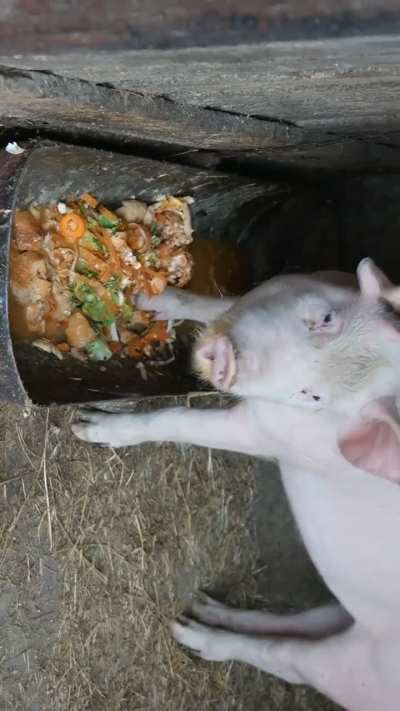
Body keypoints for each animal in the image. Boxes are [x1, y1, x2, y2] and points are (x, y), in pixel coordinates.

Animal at [72, 259, 400, 711]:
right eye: (326, 319)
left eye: (313, 397)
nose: (227, 360)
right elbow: (211, 304)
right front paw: (145, 298)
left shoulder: (265, 434)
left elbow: (178, 420)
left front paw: (85, 426)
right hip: (338, 610)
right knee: (294, 623)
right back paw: (197, 610)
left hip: (361, 672)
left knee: (287, 659)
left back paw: (191, 637)